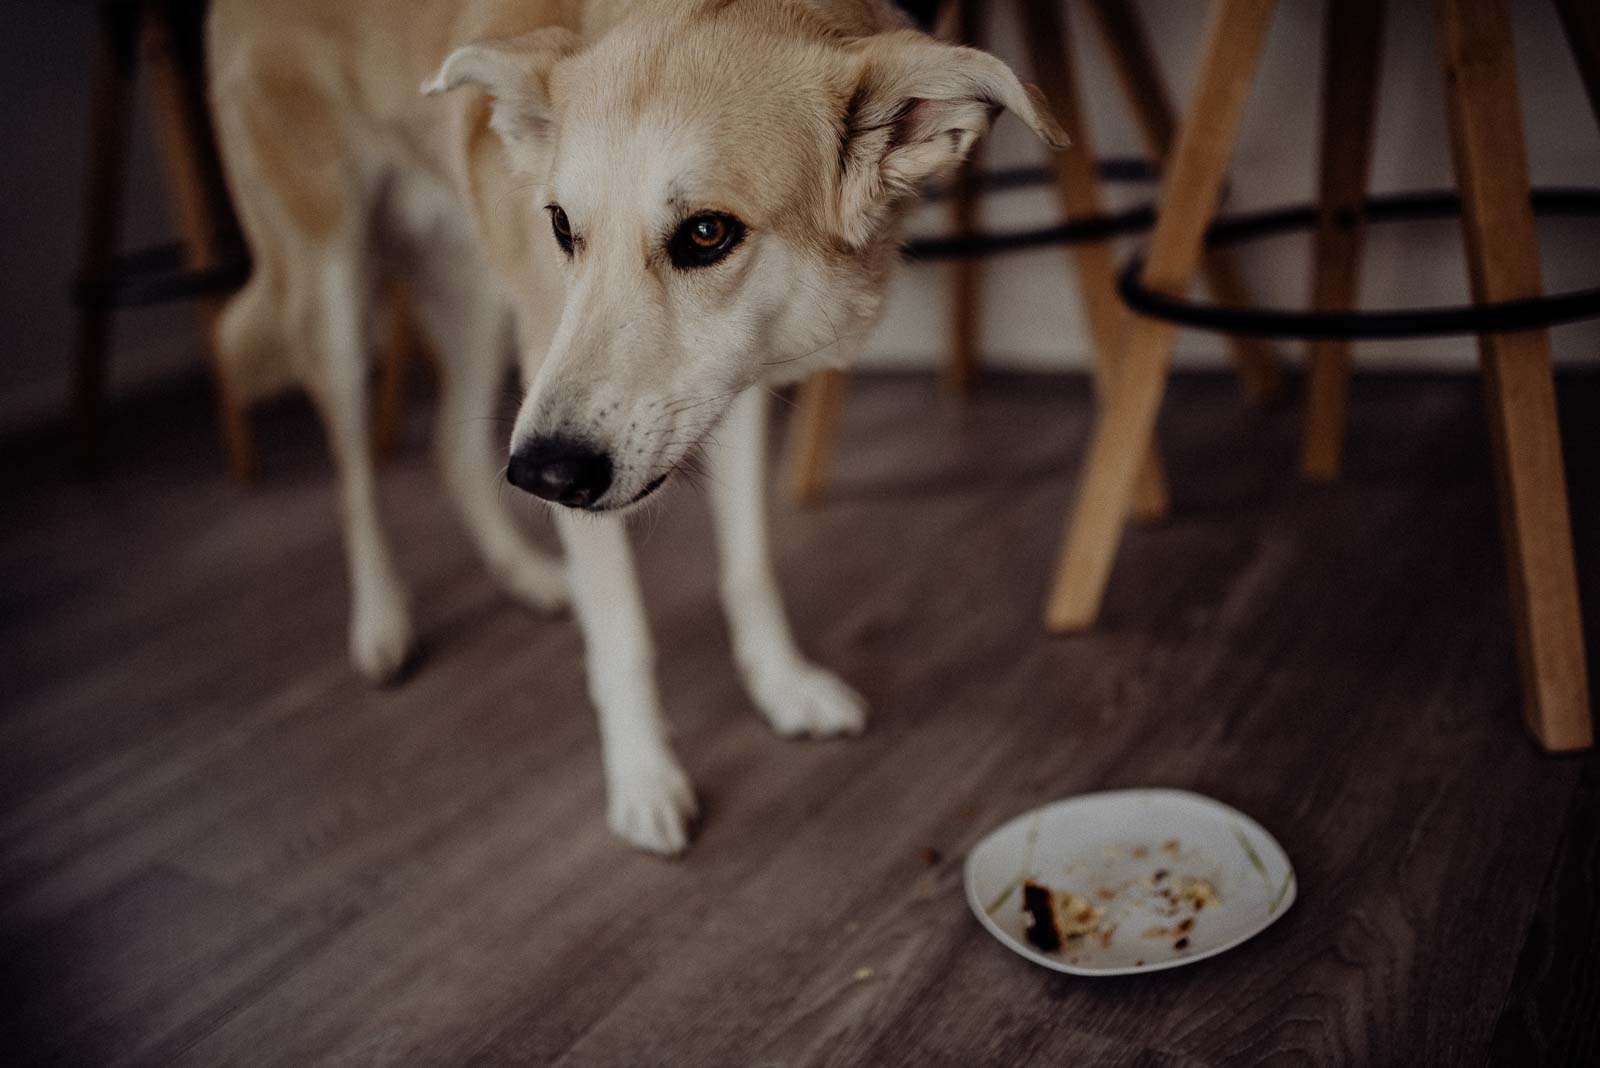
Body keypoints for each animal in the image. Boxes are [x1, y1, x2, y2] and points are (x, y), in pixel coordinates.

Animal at [209, 0, 1062, 850]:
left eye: (708, 233)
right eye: (561, 225)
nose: (540, 476)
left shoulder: (726, 390)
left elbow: (748, 566)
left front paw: (781, 685)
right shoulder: (554, 383)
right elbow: (621, 636)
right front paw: (644, 779)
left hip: (474, 296)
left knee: (450, 448)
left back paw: (524, 575)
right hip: (336, 297)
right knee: (355, 478)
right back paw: (383, 624)